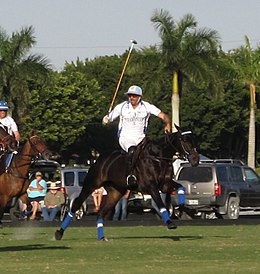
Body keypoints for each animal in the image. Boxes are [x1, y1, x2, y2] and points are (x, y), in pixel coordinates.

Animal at [55, 125, 200, 241]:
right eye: (185, 141)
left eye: (194, 141)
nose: (195, 160)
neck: (158, 158)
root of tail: (99, 159)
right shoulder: (151, 186)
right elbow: (161, 204)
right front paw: (170, 223)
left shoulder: (164, 185)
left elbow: (180, 187)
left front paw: (183, 207)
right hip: (91, 184)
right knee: (76, 205)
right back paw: (59, 233)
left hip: (115, 192)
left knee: (101, 213)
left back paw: (101, 237)